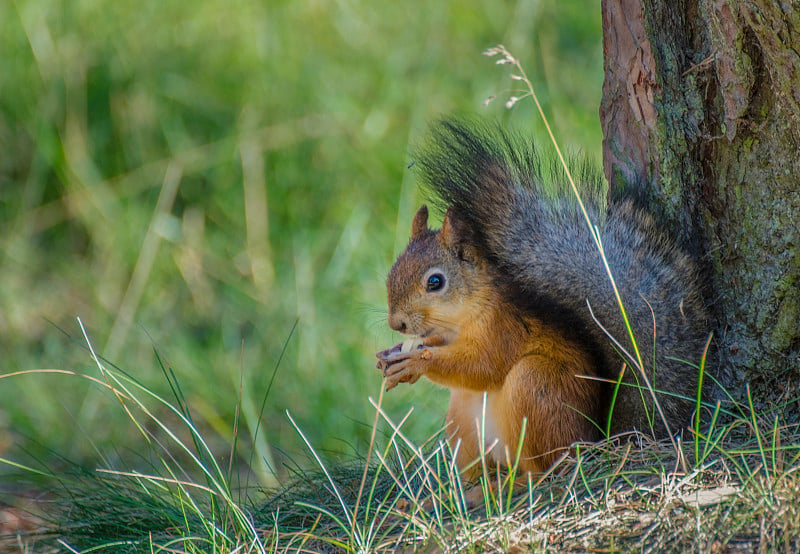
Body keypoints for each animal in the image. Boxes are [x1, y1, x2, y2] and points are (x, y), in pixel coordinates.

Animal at [372, 119, 708, 474]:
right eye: (393, 270)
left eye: (435, 281)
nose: (396, 324)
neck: (462, 316)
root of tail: (594, 442)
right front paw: (392, 355)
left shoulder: (504, 327)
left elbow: (483, 366)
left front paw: (417, 361)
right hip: (463, 419)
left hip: (536, 386)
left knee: (546, 466)